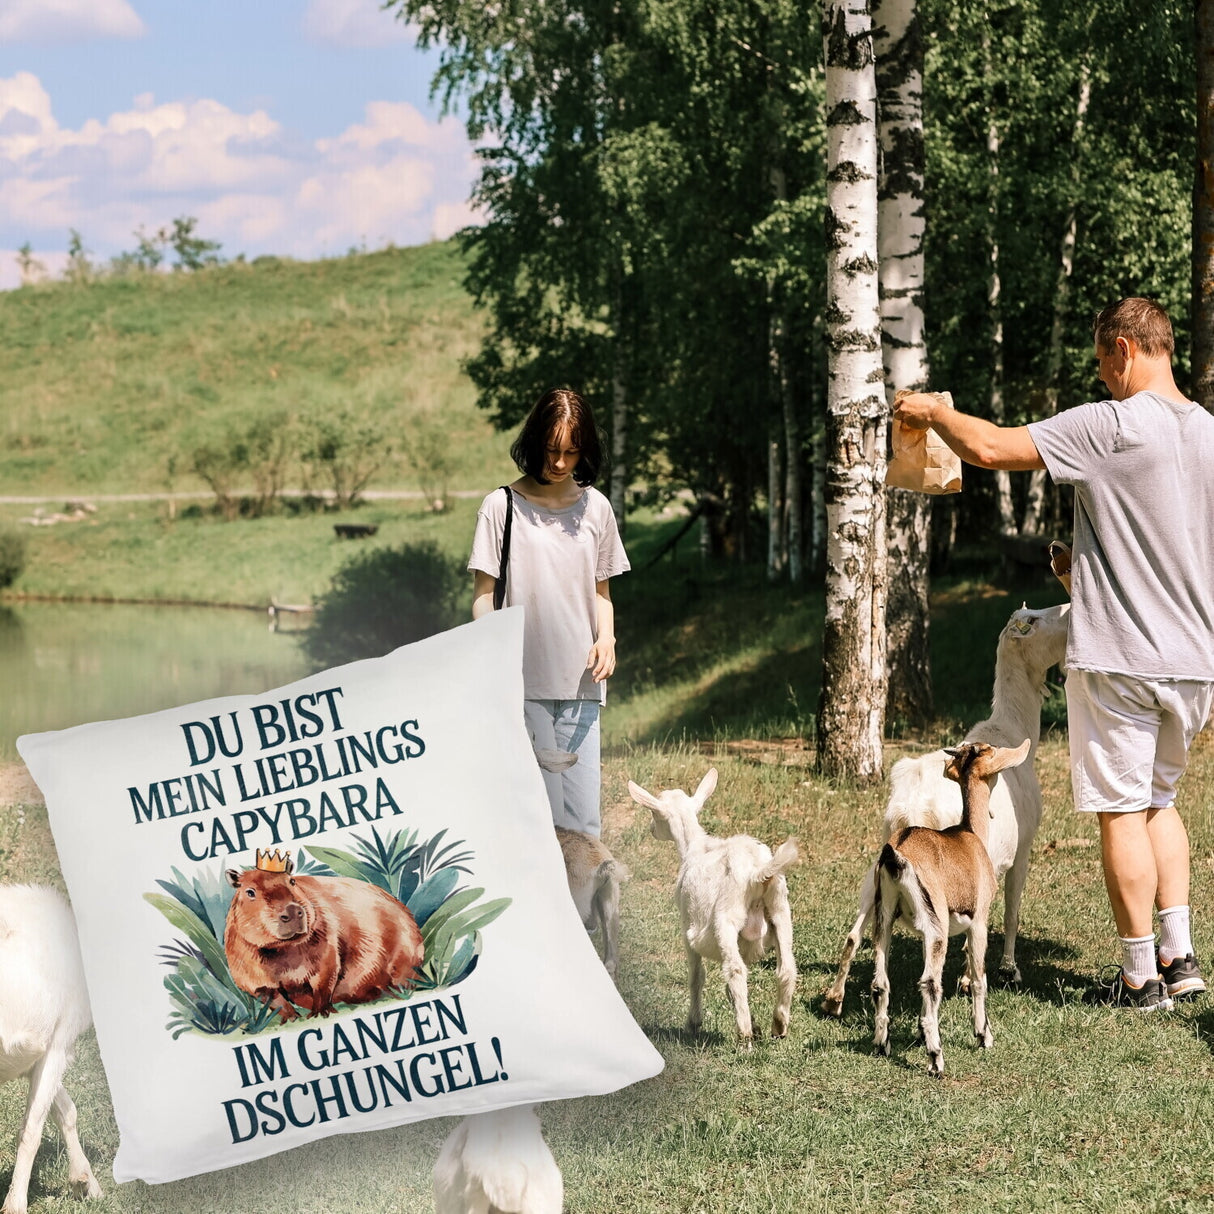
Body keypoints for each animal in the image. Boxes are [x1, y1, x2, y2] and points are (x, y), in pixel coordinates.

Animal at [0, 883, 101, 1214]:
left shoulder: (39, 1056)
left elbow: (65, 1110)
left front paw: (85, 1183)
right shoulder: (59, 1043)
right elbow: (31, 1130)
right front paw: (15, 1205)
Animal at [626, 767, 796, 1044]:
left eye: (654, 813)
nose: (651, 829)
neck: (695, 847)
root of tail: (758, 873)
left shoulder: (687, 924)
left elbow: (697, 976)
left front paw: (694, 1023)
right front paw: (755, 1023)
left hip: (725, 920)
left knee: (736, 971)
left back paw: (744, 1037)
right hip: (781, 911)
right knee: (786, 969)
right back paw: (778, 1026)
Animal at [820, 599, 1068, 1014]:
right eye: (1033, 619)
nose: (1068, 606)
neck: (1012, 730)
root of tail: (912, 804)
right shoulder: (1021, 850)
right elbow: (1011, 911)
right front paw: (1004, 971)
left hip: (877, 868)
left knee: (856, 931)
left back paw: (834, 998)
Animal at [869, 733, 1029, 1078]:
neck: (969, 835)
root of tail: (896, 854)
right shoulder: (979, 920)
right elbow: (979, 978)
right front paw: (984, 1035)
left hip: (884, 918)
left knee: (880, 982)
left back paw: (881, 1044)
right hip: (937, 925)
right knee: (930, 982)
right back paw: (936, 1059)